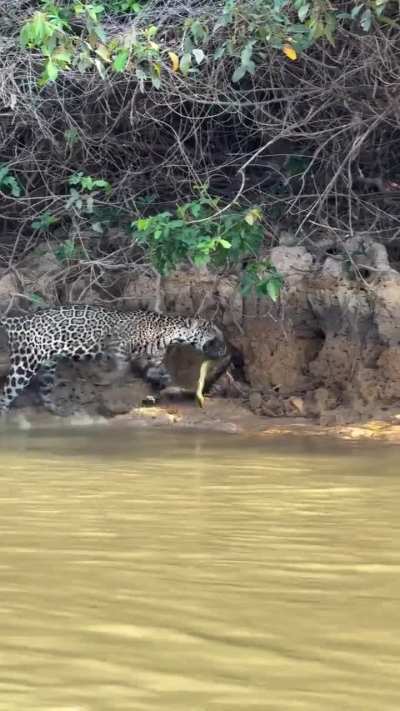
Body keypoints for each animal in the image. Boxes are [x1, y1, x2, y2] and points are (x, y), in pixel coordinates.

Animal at [0, 304, 226, 415]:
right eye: (212, 331)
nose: (225, 348)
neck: (168, 333)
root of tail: (19, 320)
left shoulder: (153, 360)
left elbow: (162, 374)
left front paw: (158, 389)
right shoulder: (116, 344)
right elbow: (121, 367)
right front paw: (106, 380)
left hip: (48, 365)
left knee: (45, 389)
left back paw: (58, 410)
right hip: (24, 365)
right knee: (6, 393)